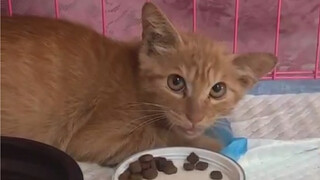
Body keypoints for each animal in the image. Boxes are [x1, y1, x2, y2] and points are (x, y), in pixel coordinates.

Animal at [0, 2, 276, 166]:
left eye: (218, 89)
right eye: (175, 82)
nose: (195, 118)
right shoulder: (95, 138)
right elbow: (160, 137)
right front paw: (211, 144)